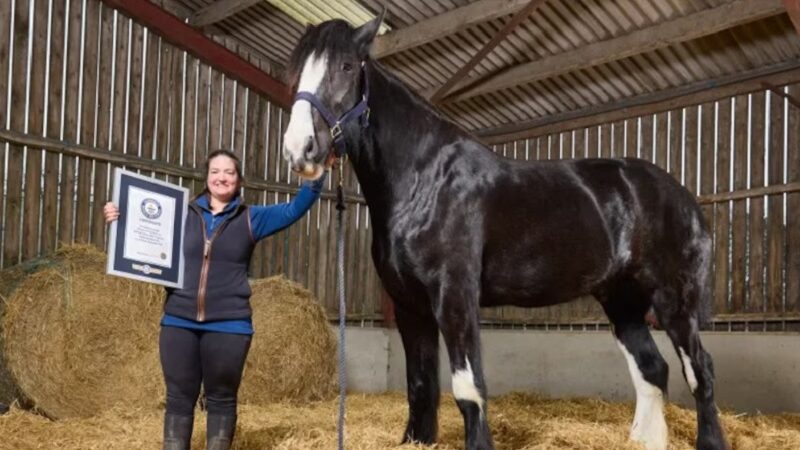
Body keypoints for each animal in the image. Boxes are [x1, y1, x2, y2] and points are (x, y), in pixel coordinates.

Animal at [282, 12, 728, 450]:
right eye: (297, 70)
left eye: (346, 66)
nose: (300, 149)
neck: (425, 177)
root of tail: (683, 197)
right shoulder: (409, 305)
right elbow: (420, 386)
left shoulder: (455, 296)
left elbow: (467, 388)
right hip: (622, 300)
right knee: (652, 370)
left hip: (675, 301)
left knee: (700, 371)